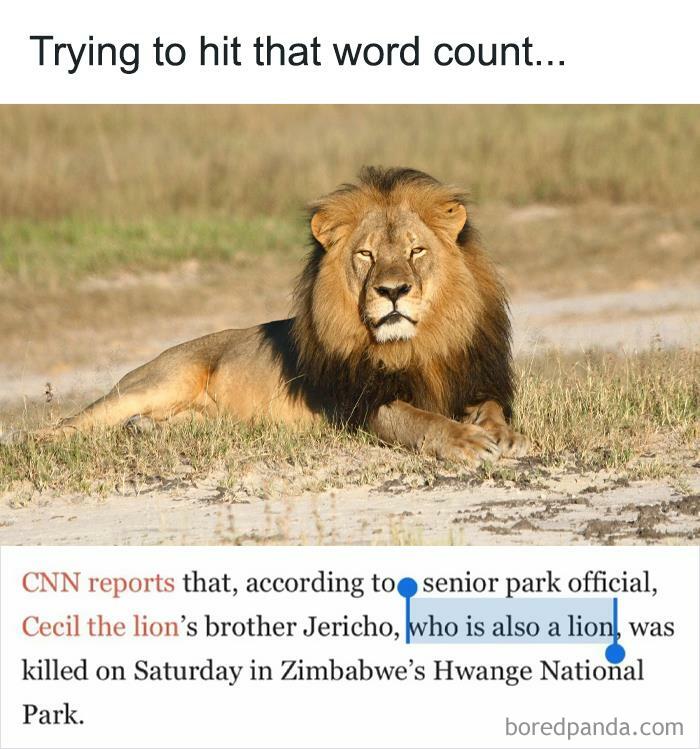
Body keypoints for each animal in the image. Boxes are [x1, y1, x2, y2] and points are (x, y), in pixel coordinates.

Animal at [24, 167, 528, 463]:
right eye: (365, 255)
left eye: (415, 251)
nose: (392, 291)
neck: (416, 345)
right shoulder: (361, 404)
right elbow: (419, 420)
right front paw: (465, 442)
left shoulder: (474, 378)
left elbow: (491, 407)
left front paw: (504, 435)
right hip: (160, 380)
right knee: (76, 422)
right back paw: (42, 443)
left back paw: (143, 430)